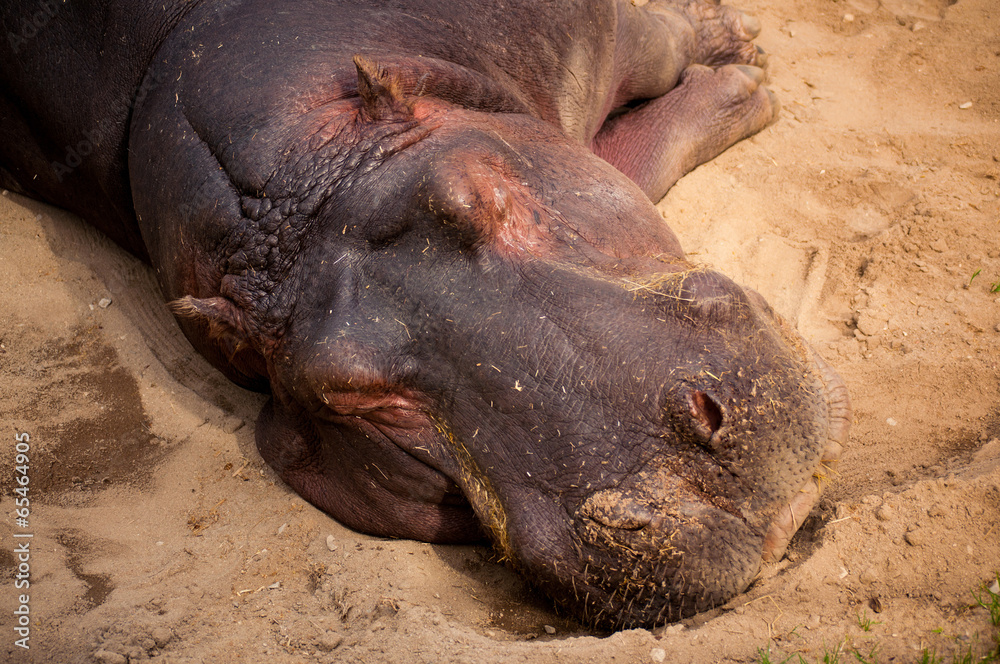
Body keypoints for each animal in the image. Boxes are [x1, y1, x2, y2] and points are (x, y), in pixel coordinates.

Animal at [0, 0, 849, 629]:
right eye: (351, 396)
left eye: (474, 186)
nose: (680, 485)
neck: (301, 172)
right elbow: (631, 155)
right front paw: (742, 77)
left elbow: (653, 60)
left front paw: (736, 48)